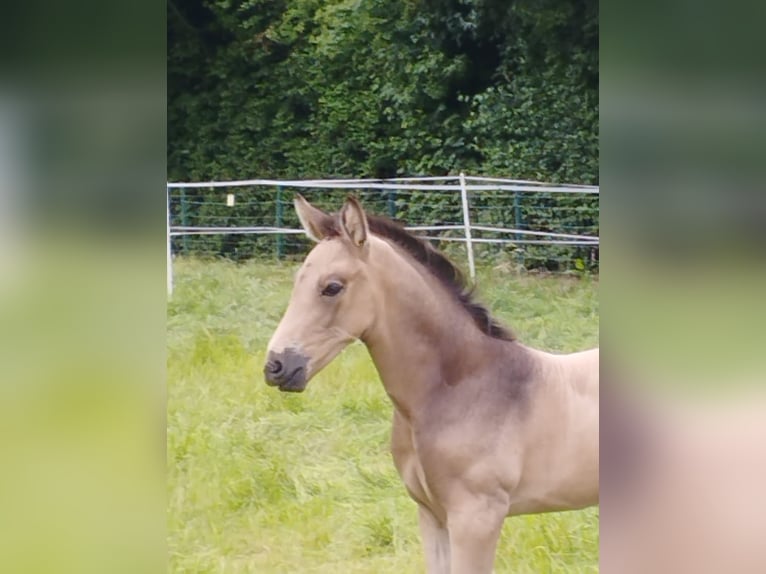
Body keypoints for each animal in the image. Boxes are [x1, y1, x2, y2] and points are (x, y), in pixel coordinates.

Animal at [264, 195, 599, 573]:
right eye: (297, 281)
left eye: (332, 287)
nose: (276, 366)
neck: (461, 390)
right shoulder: (431, 515)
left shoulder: (476, 519)